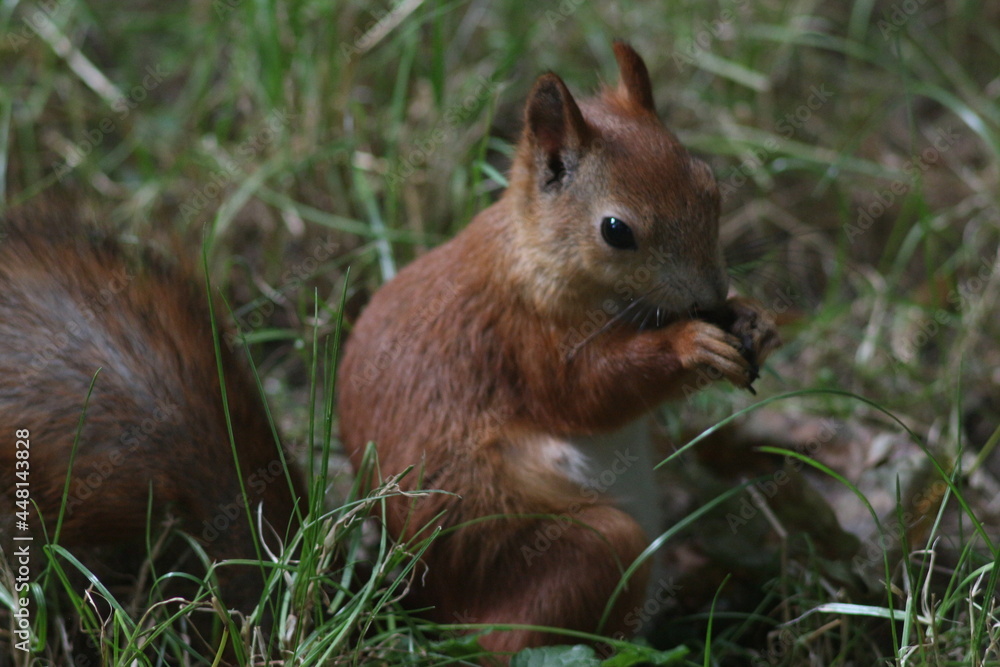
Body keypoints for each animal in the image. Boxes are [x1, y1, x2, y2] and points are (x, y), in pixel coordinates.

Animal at [337, 41, 780, 657]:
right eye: (616, 230)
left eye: (709, 185)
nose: (710, 298)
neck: (537, 257)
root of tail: (442, 619)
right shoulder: (524, 337)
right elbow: (585, 394)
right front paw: (691, 344)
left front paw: (752, 317)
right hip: (567, 553)